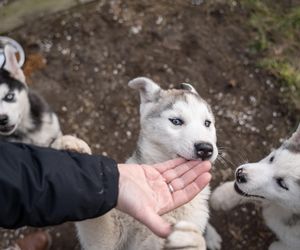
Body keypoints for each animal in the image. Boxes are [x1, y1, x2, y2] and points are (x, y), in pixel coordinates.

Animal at [76, 77, 221, 250]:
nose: (206, 149)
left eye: (207, 123)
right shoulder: (110, 240)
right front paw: (74, 148)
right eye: (176, 121)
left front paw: (191, 240)